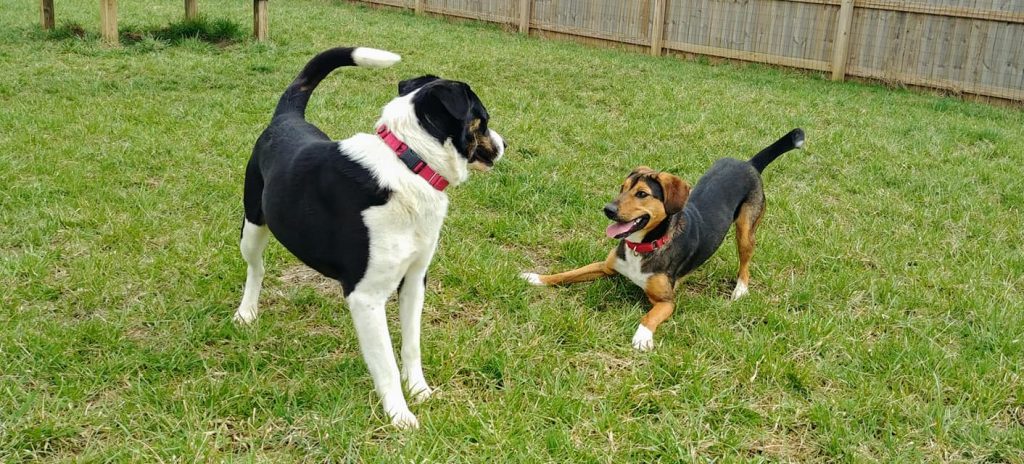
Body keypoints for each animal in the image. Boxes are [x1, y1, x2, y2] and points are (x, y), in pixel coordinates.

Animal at [232, 47, 503, 426]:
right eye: (484, 119)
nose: (504, 145)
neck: (409, 163)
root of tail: (286, 117)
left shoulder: (415, 279)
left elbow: (411, 345)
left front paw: (419, 391)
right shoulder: (366, 297)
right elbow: (385, 363)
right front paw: (400, 416)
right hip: (253, 225)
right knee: (256, 268)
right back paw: (247, 311)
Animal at [524, 128, 802, 348]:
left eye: (642, 194)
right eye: (622, 189)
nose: (608, 209)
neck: (643, 245)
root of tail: (750, 163)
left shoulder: (667, 302)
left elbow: (649, 317)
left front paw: (642, 336)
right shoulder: (605, 266)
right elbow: (568, 274)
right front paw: (536, 278)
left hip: (745, 229)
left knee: (745, 260)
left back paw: (741, 289)